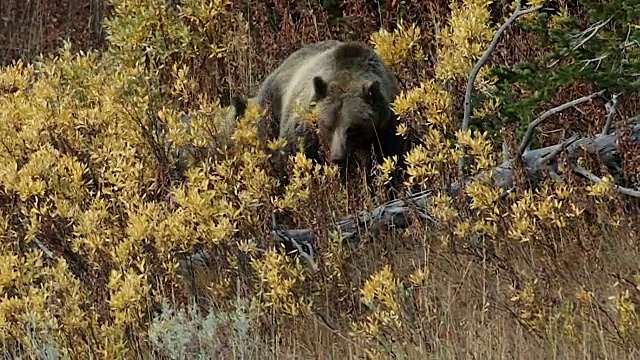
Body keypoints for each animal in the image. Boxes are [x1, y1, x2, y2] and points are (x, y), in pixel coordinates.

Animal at [255, 40, 404, 183]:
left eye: (351, 128)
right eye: (328, 126)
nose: (337, 157)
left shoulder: (385, 127)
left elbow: (389, 158)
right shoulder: (305, 127)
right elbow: (294, 154)